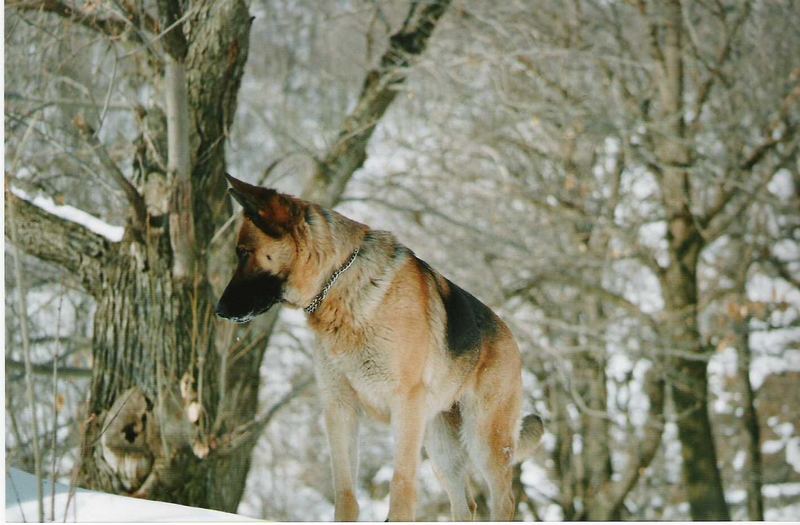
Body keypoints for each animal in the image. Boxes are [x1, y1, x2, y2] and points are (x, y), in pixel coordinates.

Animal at [216, 174, 544, 516]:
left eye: (243, 253)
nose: (218, 310)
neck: (341, 284)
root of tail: (508, 332)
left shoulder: (405, 406)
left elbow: (401, 485)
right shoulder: (340, 409)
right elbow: (345, 491)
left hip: (483, 440)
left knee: (504, 500)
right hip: (441, 446)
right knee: (465, 504)